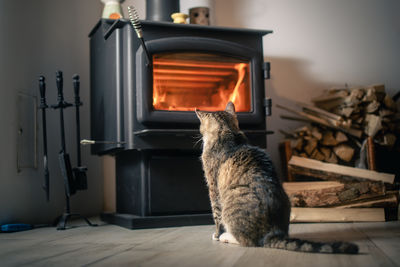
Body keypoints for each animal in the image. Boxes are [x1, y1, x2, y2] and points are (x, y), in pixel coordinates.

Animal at [195, 101, 358, 254]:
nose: (200, 133)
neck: (227, 132)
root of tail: (273, 233)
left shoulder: (213, 188)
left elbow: (216, 214)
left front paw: (217, 235)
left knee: (247, 241)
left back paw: (226, 237)